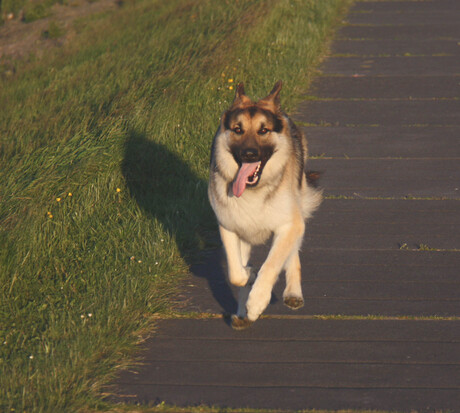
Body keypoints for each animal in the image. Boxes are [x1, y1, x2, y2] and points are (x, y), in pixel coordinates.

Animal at [209, 82, 322, 330]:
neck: (254, 190)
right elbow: (236, 274)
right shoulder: (229, 228)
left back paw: (292, 292)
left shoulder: (289, 226)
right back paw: (242, 312)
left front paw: (257, 301)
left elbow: (271, 265)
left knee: (292, 254)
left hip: (295, 217)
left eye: (263, 131)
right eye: (237, 129)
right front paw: (248, 278)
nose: (249, 154)